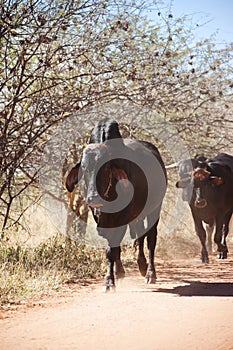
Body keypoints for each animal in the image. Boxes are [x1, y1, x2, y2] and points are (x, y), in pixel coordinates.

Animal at [66, 120, 167, 290]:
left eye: (106, 167)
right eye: (84, 168)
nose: (94, 197)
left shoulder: (122, 218)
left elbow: (112, 249)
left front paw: (109, 280)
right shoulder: (100, 218)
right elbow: (113, 248)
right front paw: (118, 273)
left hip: (155, 209)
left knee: (151, 239)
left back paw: (150, 274)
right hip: (138, 215)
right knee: (140, 236)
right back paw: (141, 265)